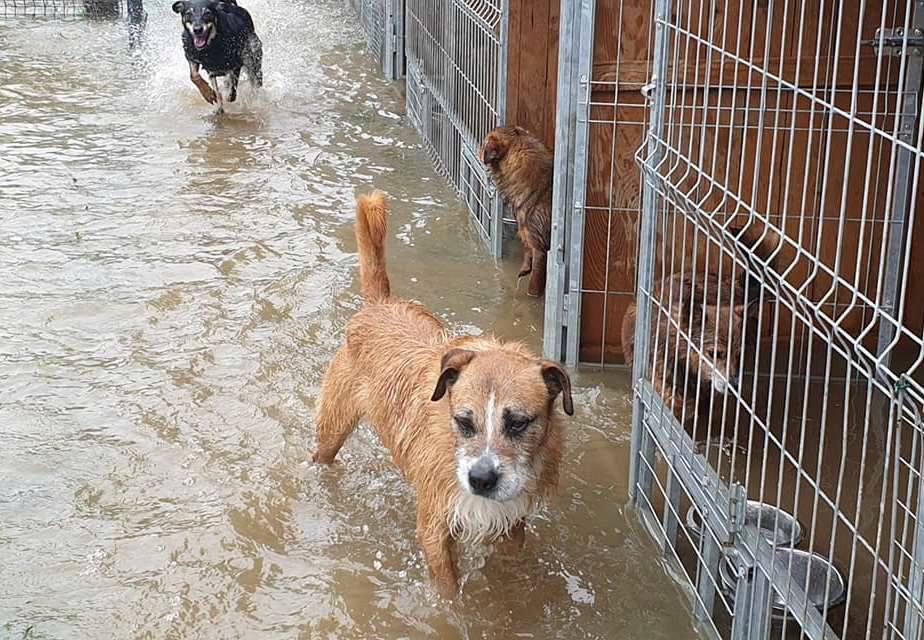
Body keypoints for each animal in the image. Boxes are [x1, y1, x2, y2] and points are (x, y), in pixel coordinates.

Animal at [314, 190, 572, 600]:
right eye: (463, 421)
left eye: (518, 423)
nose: (481, 479)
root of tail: (378, 304)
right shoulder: (435, 526)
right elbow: (450, 593)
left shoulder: (512, 519)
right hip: (333, 426)